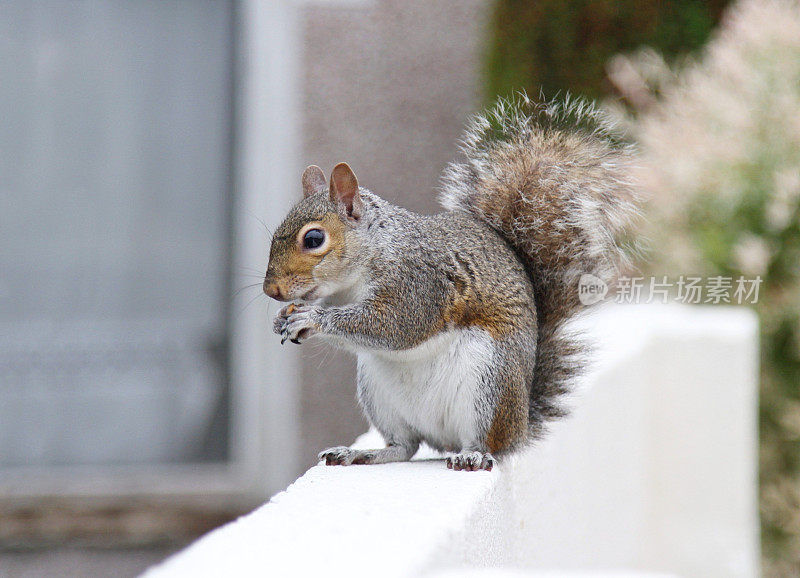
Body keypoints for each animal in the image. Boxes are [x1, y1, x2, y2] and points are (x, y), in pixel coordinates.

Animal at [266, 93, 640, 468]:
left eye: (314, 239)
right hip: (378, 392)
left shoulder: (419, 282)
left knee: (488, 442)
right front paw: (282, 318)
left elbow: (396, 324)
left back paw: (473, 455)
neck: (359, 272)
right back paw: (363, 453)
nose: (272, 291)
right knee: (404, 445)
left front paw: (311, 319)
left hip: (490, 382)